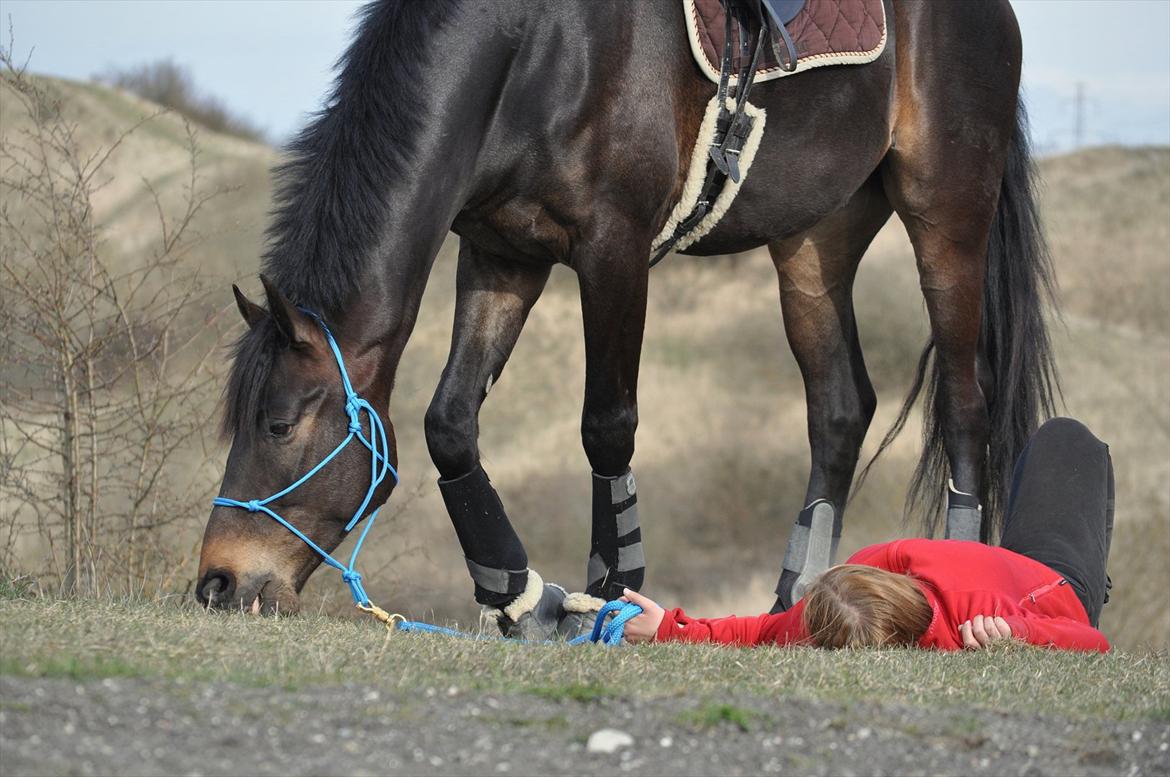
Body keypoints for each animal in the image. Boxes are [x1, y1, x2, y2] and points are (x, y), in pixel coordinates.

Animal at [194, 0, 1062, 631]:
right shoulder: (503, 253)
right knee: (841, 409)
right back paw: (791, 601)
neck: (539, 53)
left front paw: (608, 595)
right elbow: (449, 422)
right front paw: (517, 593)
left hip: (947, 217)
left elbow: (606, 424)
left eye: (277, 424)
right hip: (815, 243)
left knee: (964, 407)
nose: (217, 581)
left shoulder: (614, 249)